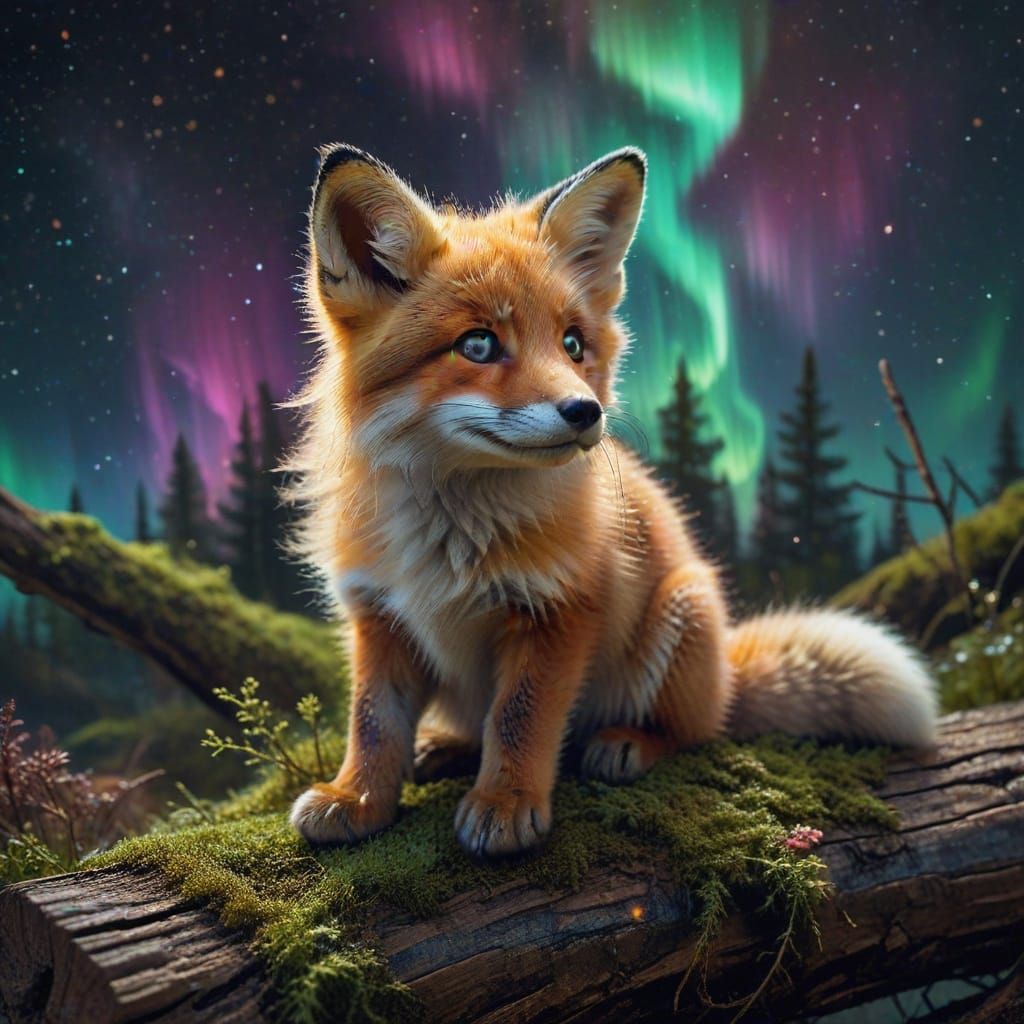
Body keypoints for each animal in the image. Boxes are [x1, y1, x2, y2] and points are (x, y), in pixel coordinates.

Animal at [287, 142, 938, 859]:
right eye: (477, 344)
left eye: (572, 343)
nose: (584, 411)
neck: (448, 538)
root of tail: (727, 676)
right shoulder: (378, 616)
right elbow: (373, 723)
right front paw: (358, 798)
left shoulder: (561, 608)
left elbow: (518, 718)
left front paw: (506, 802)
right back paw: (447, 746)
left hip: (682, 611)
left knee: (695, 731)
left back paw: (626, 744)